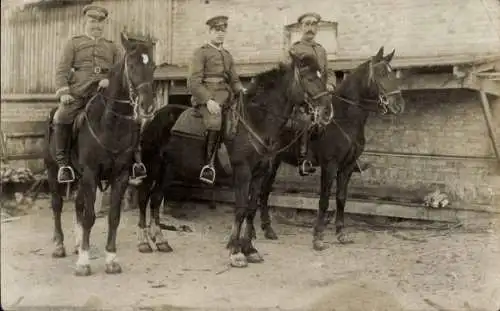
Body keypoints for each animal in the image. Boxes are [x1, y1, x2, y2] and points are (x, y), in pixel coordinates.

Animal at [43, 33, 156, 278]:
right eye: (132, 65)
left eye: (153, 66)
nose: (148, 107)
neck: (110, 124)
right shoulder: (90, 174)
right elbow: (89, 217)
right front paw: (83, 263)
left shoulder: (120, 176)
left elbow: (113, 217)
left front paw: (111, 259)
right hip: (53, 170)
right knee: (57, 205)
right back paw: (59, 245)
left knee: (77, 205)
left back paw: (77, 244)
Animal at [135, 52, 334, 266]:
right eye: (309, 78)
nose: (327, 111)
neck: (256, 121)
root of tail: (154, 116)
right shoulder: (243, 173)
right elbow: (240, 209)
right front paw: (235, 251)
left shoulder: (259, 175)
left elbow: (251, 209)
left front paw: (250, 249)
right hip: (152, 167)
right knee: (143, 198)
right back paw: (144, 242)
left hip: (169, 170)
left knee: (156, 199)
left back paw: (161, 241)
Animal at [258, 47, 406, 251]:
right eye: (382, 73)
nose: (399, 105)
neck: (344, 119)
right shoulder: (330, 166)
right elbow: (324, 199)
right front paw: (318, 237)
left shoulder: (347, 166)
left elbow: (341, 198)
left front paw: (341, 234)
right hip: (270, 162)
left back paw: (267, 229)